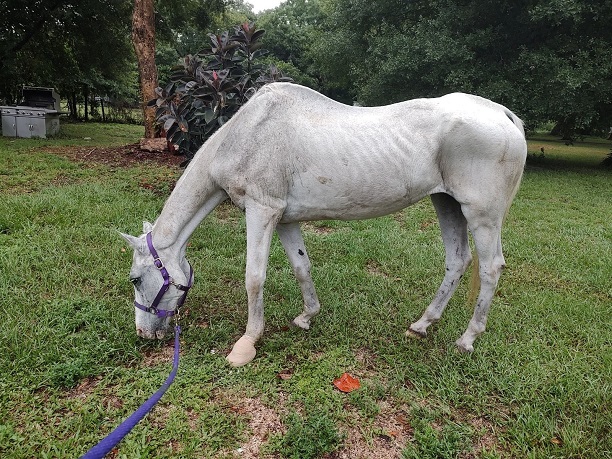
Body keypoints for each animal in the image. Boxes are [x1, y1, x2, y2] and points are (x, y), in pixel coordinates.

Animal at [119, 84, 524, 368]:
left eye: (136, 279)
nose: (143, 334)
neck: (246, 135)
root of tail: (503, 115)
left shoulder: (261, 211)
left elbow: (254, 277)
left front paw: (247, 343)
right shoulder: (284, 219)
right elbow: (301, 266)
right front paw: (307, 316)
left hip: (482, 215)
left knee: (490, 268)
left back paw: (467, 339)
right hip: (447, 204)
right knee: (457, 261)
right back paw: (423, 323)